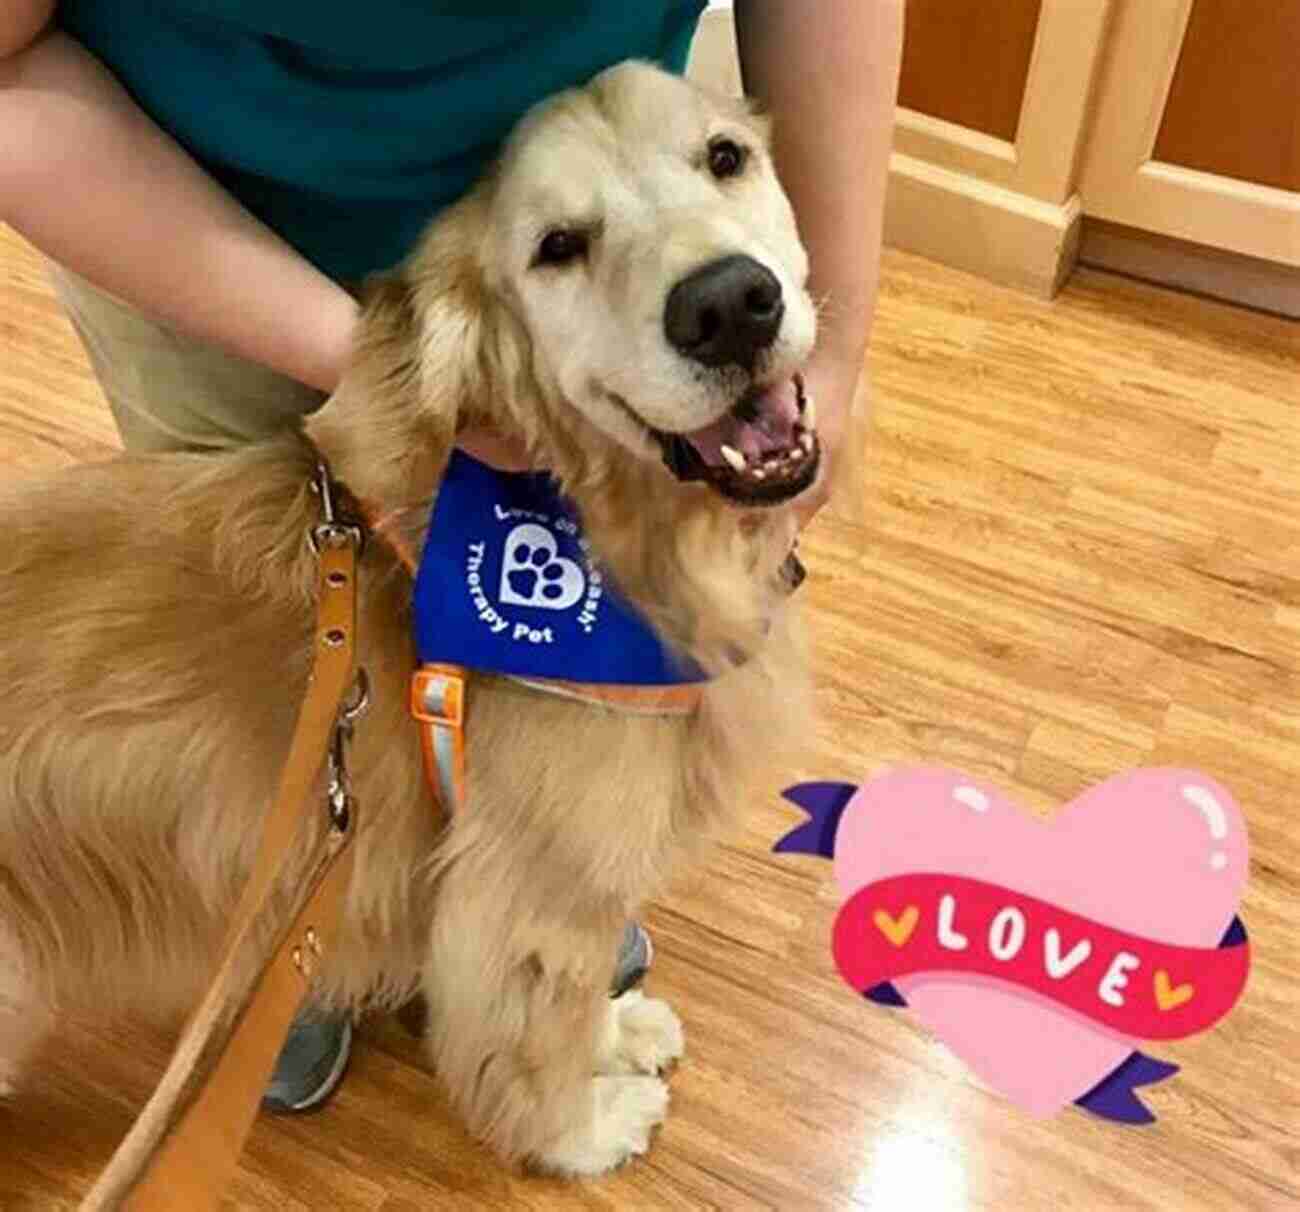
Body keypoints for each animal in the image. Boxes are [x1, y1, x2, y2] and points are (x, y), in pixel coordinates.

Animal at [0, 64, 826, 1175]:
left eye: (725, 157)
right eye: (557, 247)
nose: (730, 305)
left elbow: (583, 1001)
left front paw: (619, 1032)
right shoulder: (527, 899)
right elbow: (540, 1038)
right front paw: (580, 1126)